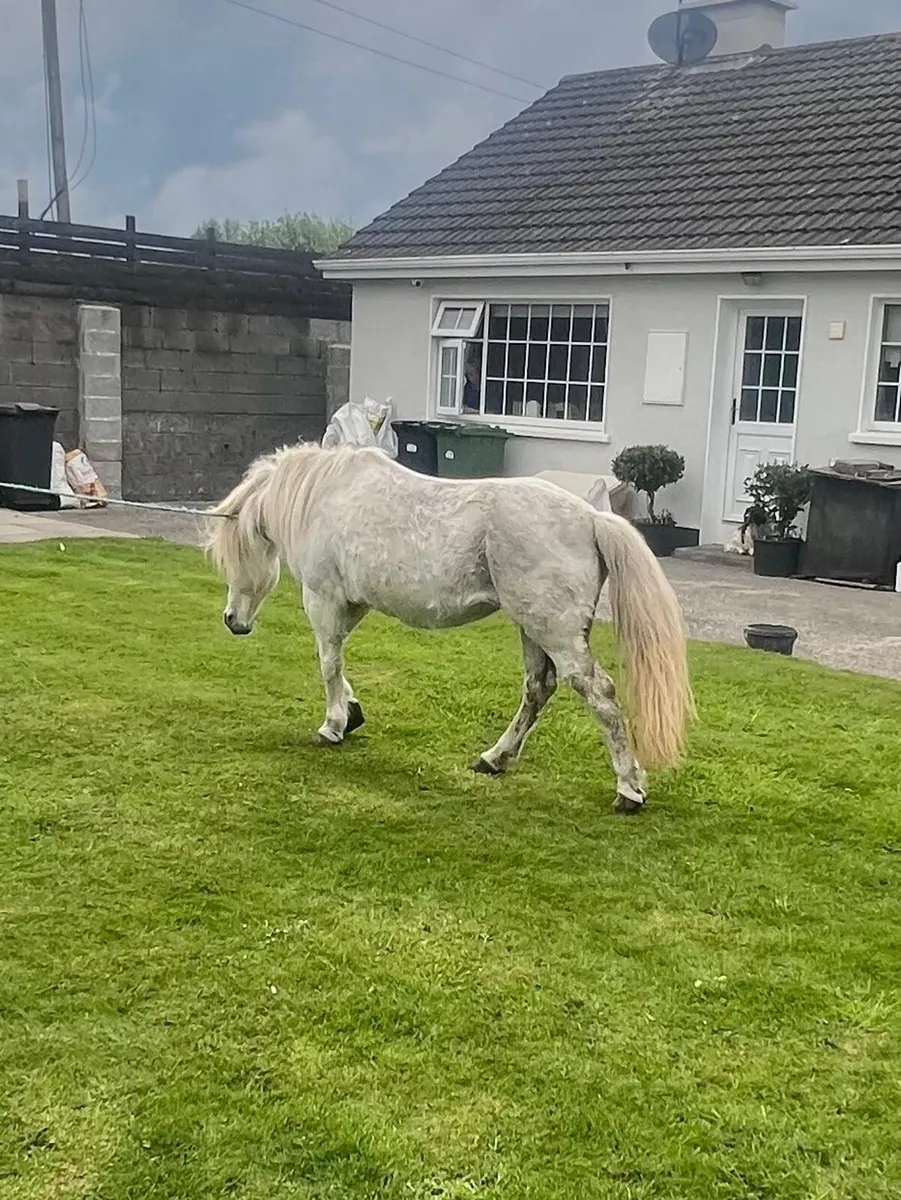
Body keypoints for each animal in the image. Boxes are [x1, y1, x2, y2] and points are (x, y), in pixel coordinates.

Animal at [205, 443, 694, 813]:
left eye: (233, 555)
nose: (233, 621)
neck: (327, 496)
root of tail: (591, 519)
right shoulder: (353, 604)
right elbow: (339, 664)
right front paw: (352, 713)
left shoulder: (324, 599)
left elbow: (328, 662)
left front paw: (332, 726)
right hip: (533, 628)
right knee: (538, 689)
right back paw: (494, 759)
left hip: (556, 635)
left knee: (600, 694)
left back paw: (629, 790)